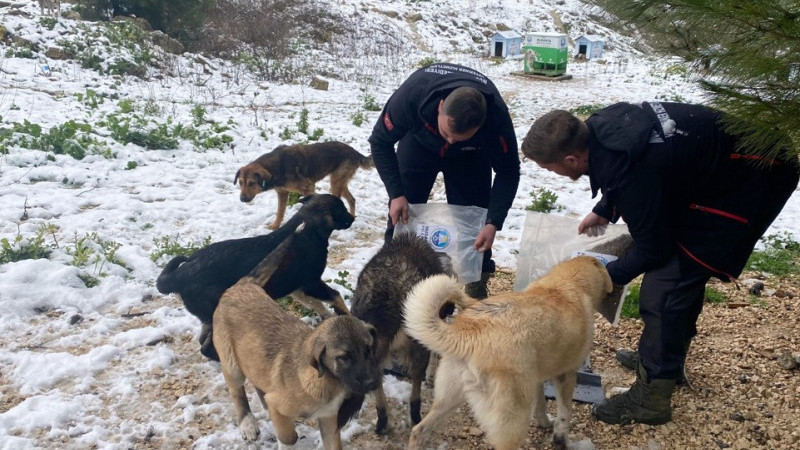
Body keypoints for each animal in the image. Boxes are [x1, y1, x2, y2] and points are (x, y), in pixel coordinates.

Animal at [156, 194, 354, 362]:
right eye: (343, 210)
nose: (353, 218)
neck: (308, 229)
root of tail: (179, 275)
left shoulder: (298, 288)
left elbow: (317, 305)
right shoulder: (311, 283)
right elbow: (335, 296)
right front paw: (346, 315)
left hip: (208, 316)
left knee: (203, 340)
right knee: (206, 346)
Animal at [212, 232, 382, 450]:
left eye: (369, 350)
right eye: (344, 357)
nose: (371, 383)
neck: (326, 380)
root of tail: (242, 285)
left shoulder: (328, 419)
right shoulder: (280, 405)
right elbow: (289, 437)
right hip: (231, 363)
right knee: (237, 391)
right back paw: (247, 424)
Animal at [233, 141, 374, 230]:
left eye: (251, 183)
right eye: (240, 182)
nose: (242, 199)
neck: (275, 167)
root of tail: (356, 152)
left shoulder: (308, 188)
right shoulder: (282, 193)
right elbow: (280, 212)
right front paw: (275, 226)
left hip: (336, 182)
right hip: (338, 182)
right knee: (352, 199)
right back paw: (352, 217)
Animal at [352, 234, 456, 434]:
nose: (451, 309)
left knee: (376, 378)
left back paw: (382, 421)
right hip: (417, 341)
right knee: (415, 383)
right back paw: (414, 418)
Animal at [406, 256, 612, 450]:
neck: (568, 282)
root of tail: (470, 333)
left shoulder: (537, 378)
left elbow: (540, 405)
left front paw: (544, 423)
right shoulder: (566, 375)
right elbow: (565, 413)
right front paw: (560, 439)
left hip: (450, 398)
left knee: (418, 431)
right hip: (512, 421)